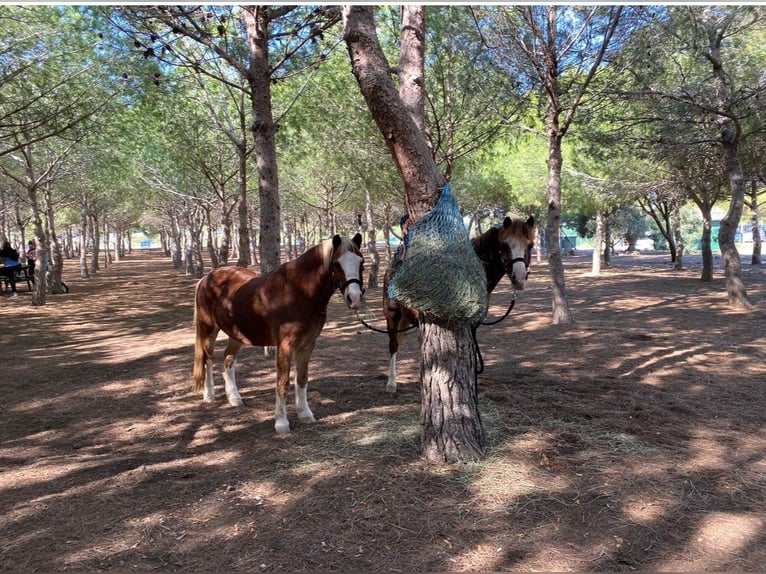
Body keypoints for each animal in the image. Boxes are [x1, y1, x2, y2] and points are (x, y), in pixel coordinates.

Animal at [196, 233, 368, 432]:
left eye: (361, 262)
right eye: (336, 263)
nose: (354, 298)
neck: (298, 292)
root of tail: (207, 278)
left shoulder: (307, 344)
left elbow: (302, 378)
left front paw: (305, 414)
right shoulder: (285, 345)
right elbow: (283, 381)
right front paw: (281, 423)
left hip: (236, 333)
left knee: (228, 359)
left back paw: (234, 398)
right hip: (208, 329)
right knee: (208, 358)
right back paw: (209, 395)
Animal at [382, 218, 536, 394]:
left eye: (530, 245)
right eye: (504, 245)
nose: (519, 278)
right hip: (392, 315)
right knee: (393, 345)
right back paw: (391, 384)